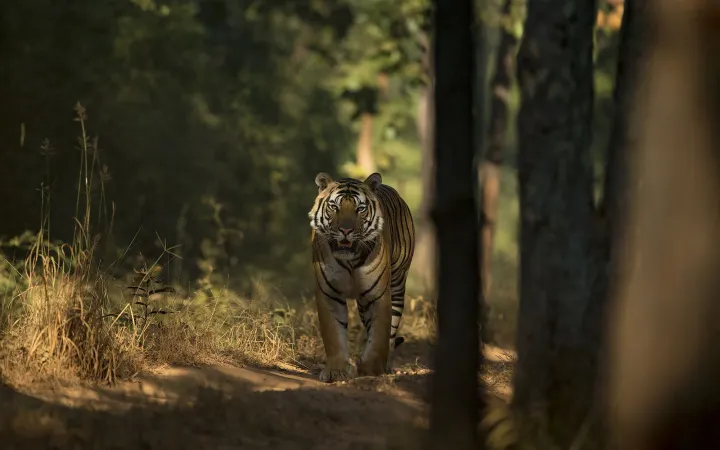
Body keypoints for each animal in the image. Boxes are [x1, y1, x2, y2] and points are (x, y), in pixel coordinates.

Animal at [308, 172, 415, 382]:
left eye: (360, 209)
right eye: (334, 207)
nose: (346, 230)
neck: (350, 260)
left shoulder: (378, 295)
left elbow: (380, 335)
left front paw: (371, 371)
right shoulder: (329, 294)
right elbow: (333, 333)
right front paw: (337, 371)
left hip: (397, 285)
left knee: (391, 333)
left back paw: (386, 366)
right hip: (363, 304)